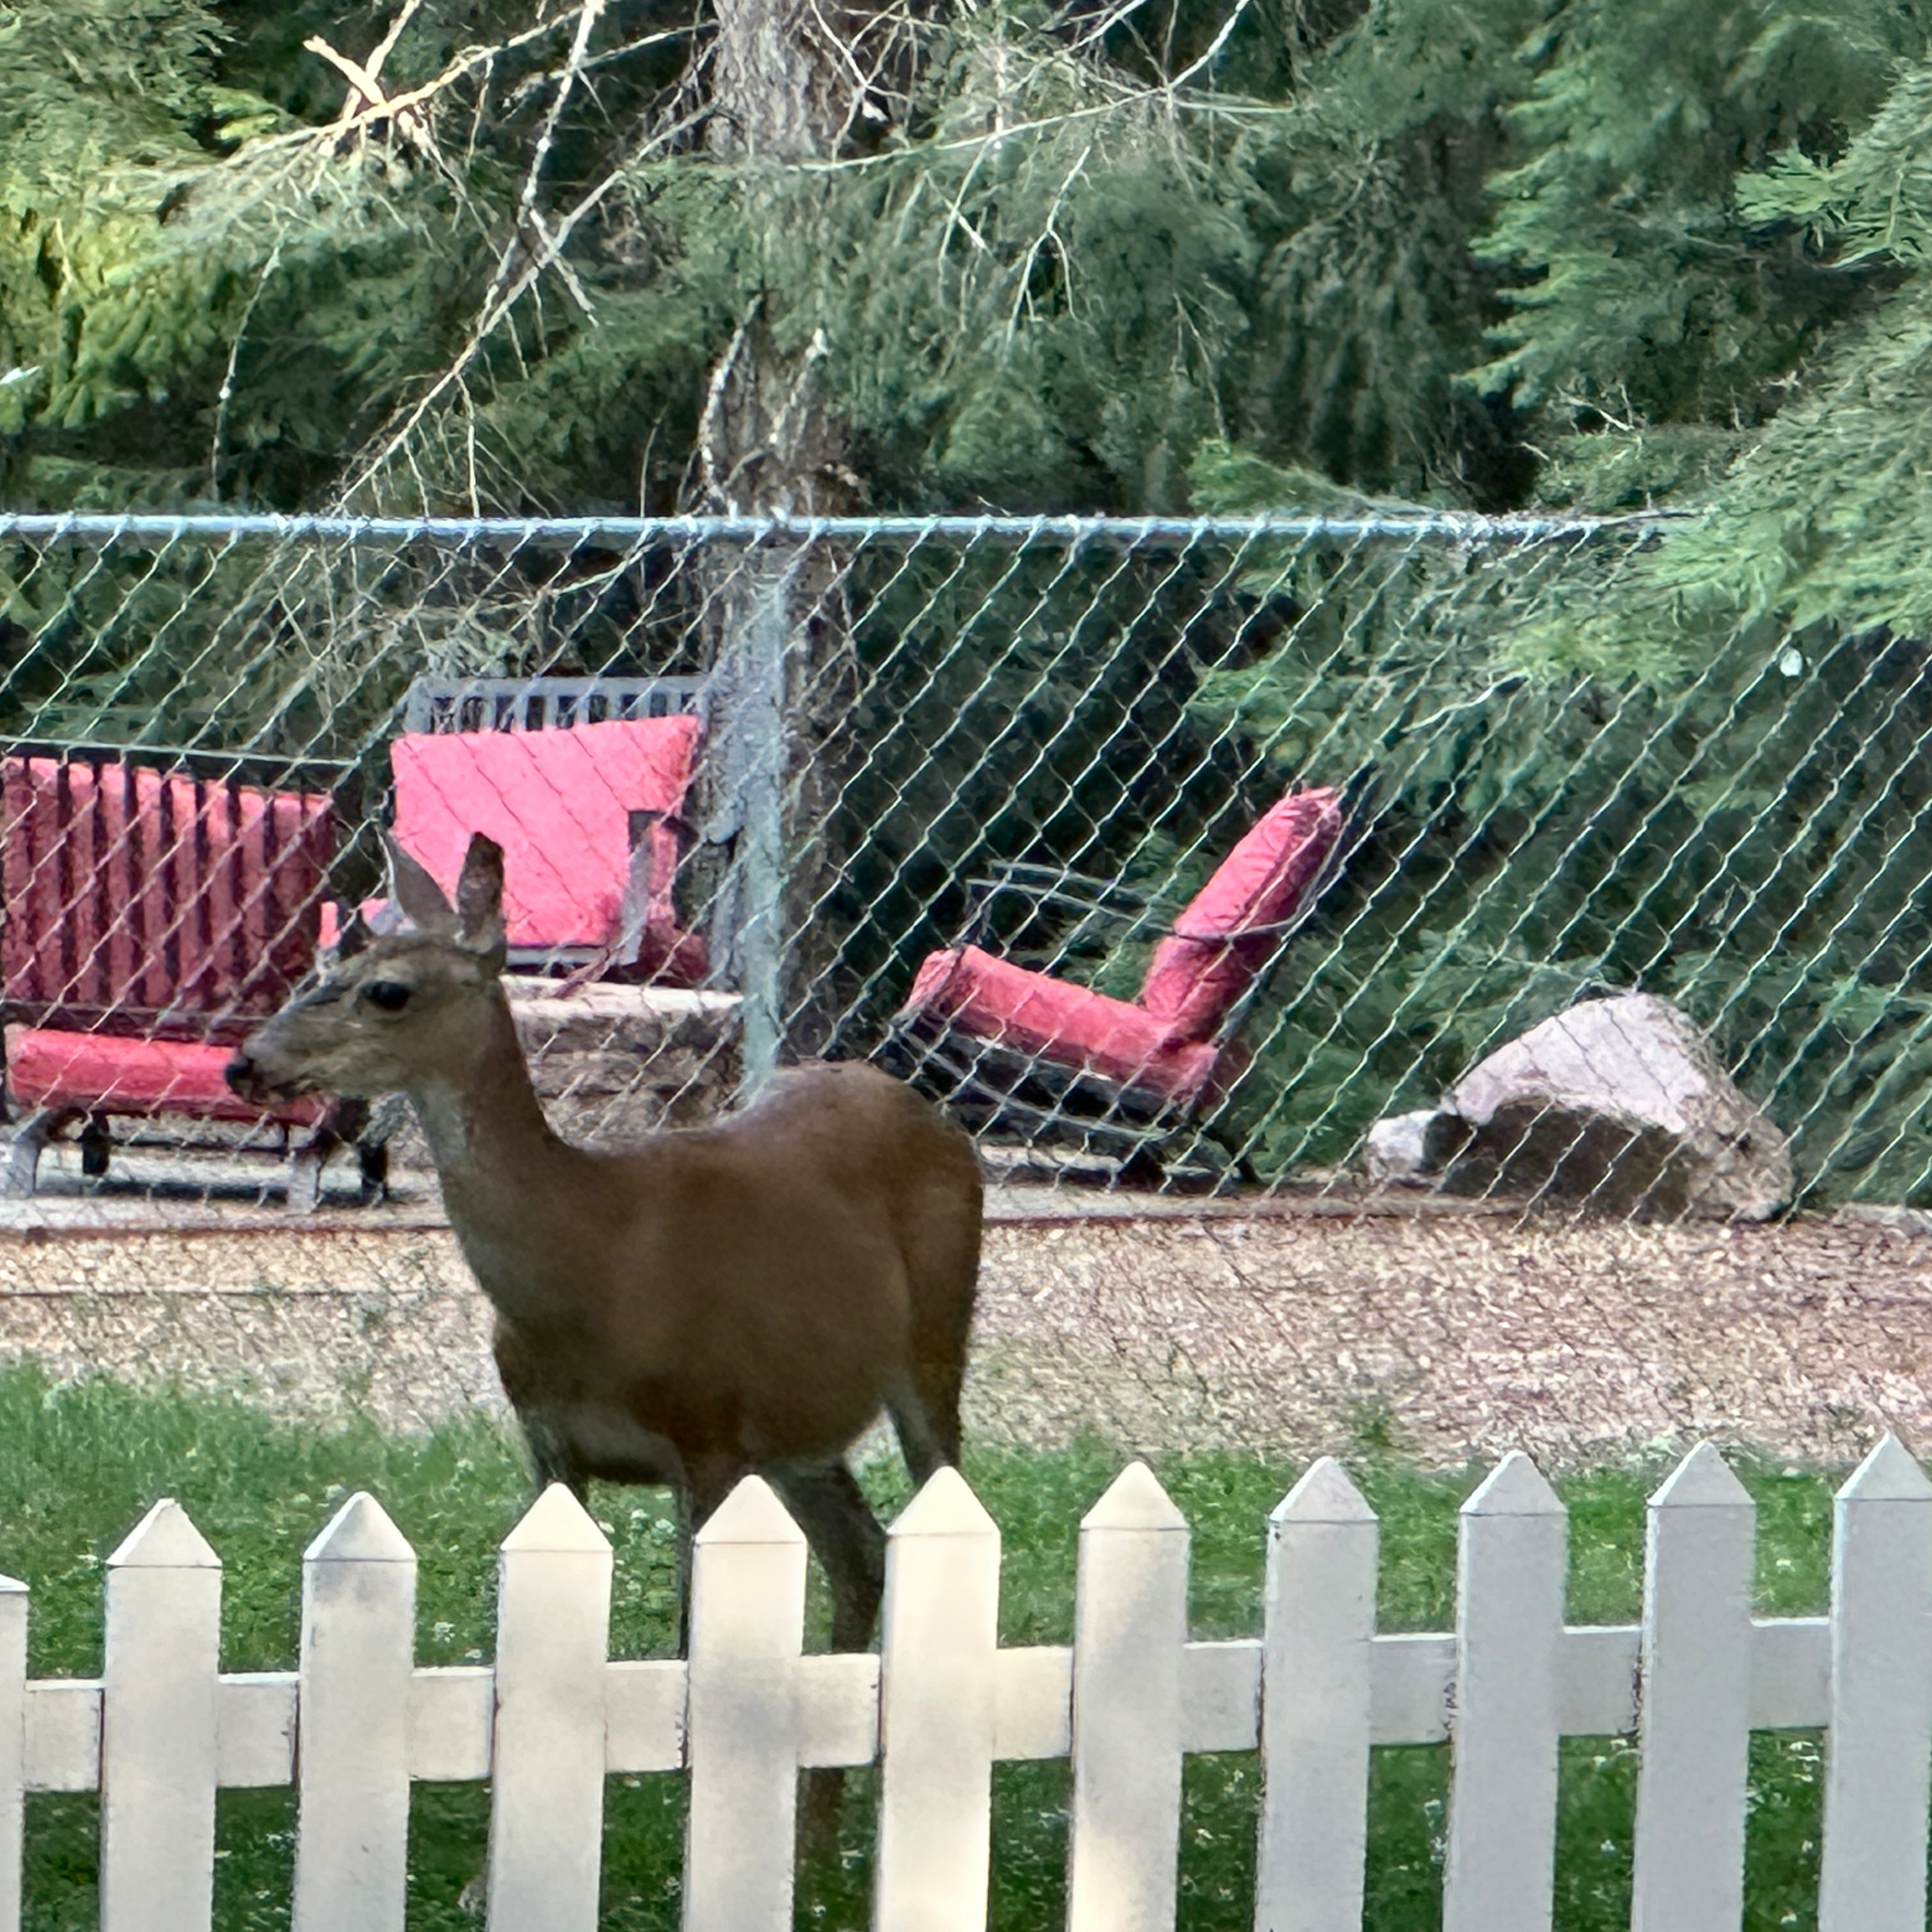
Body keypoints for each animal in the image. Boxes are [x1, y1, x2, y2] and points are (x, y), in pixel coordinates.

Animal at [226, 832, 982, 1727]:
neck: (593, 1259)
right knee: (859, 1554)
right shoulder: (550, 1444)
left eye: (388, 991)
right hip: (800, 1427)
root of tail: (929, 1114)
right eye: (327, 964)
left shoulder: (708, 1432)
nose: (244, 1064)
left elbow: (690, 1649)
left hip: (933, 1340)